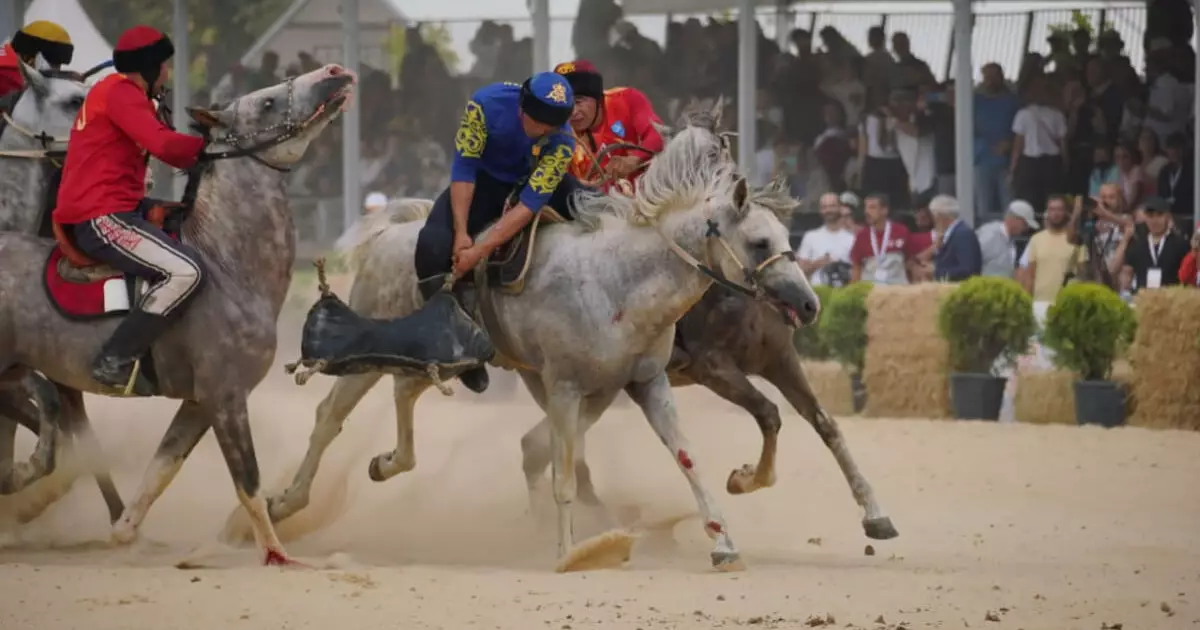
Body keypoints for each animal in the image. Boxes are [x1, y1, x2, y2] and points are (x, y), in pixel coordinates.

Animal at [0, 65, 355, 564]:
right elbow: (248, 481)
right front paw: (276, 554)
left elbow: (159, 472)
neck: (227, 264)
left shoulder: (198, 404)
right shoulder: (225, 397)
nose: (333, 73)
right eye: (266, 102)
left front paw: (125, 534)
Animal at [260, 106, 825, 568]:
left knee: (405, 394)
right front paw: (571, 551)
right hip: (373, 351)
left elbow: (687, 458)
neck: (617, 280)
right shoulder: (564, 388)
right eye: (759, 241)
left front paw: (724, 540)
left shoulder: (645, 384)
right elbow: (563, 474)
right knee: (329, 415)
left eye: (785, 236)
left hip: (437, 361)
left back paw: (385, 463)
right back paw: (284, 502)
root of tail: (390, 233)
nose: (809, 304)